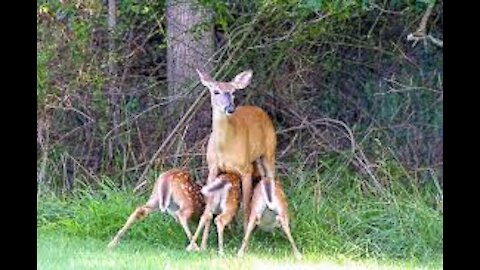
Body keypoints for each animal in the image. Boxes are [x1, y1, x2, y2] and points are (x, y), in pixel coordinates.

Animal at [196, 68, 278, 229]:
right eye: (216, 91)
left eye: (233, 92)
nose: (230, 108)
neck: (224, 147)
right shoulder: (212, 166)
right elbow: (209, 203)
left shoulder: (245, 169)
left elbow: (246, 204)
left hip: (269, 151)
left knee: (272, 179)